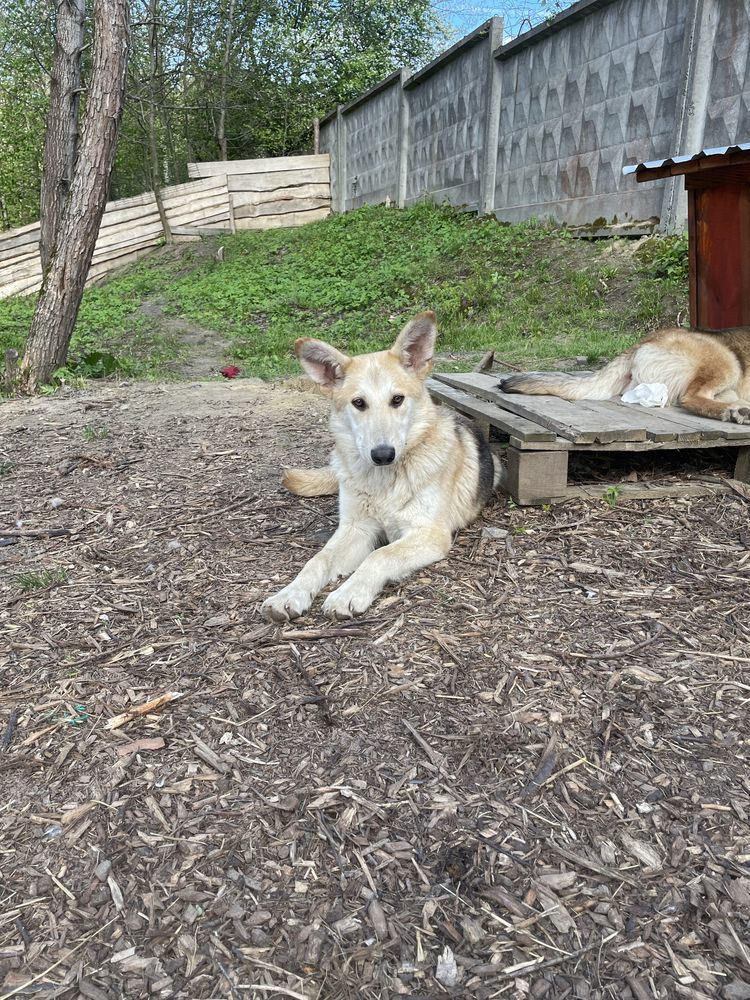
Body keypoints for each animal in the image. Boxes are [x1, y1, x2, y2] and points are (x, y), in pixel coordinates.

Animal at [262, 312, 502, 624]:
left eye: (397, 400)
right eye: (358, 403)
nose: (383, 454)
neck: (385, 483)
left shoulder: (428, 534)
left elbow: (380, 555)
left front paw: (348, 593)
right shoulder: (356, 529)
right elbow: (318, 559)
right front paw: (289, 594)